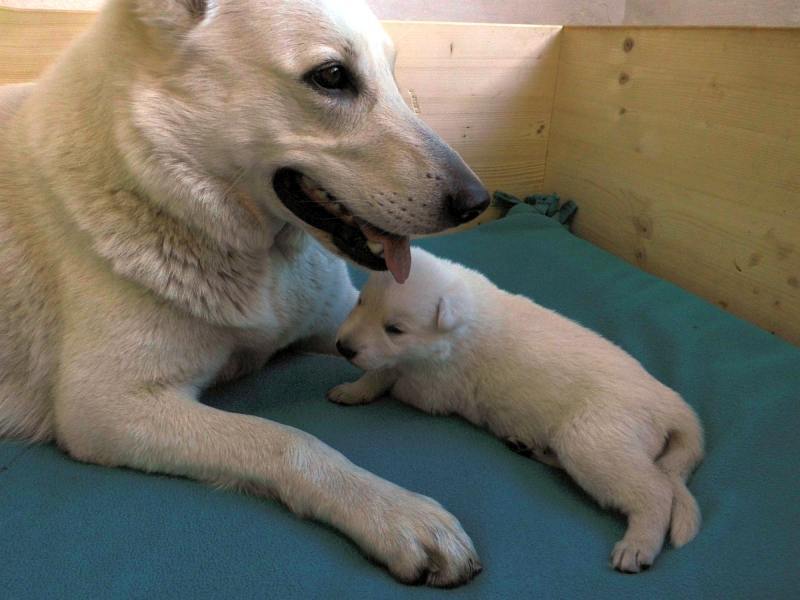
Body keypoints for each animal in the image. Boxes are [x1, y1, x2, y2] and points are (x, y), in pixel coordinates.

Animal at [0, 0, 488, 584]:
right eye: (331, 76)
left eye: (393, 73)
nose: (478, 202)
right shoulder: (108, 409)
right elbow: (287, 440)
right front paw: (393, 512)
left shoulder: (340, 325)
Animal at [328, 247, 704, 572]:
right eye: (360, 301)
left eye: (395, 329)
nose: (343, 347)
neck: (460, 321)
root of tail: (671, 403)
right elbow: (382, 371)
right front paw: (352, 389)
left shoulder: (434, 388)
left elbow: (390, 372)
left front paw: (362, 383)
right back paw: (529, 447)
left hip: (594, 442)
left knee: (656, 492)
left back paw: (637, 545)